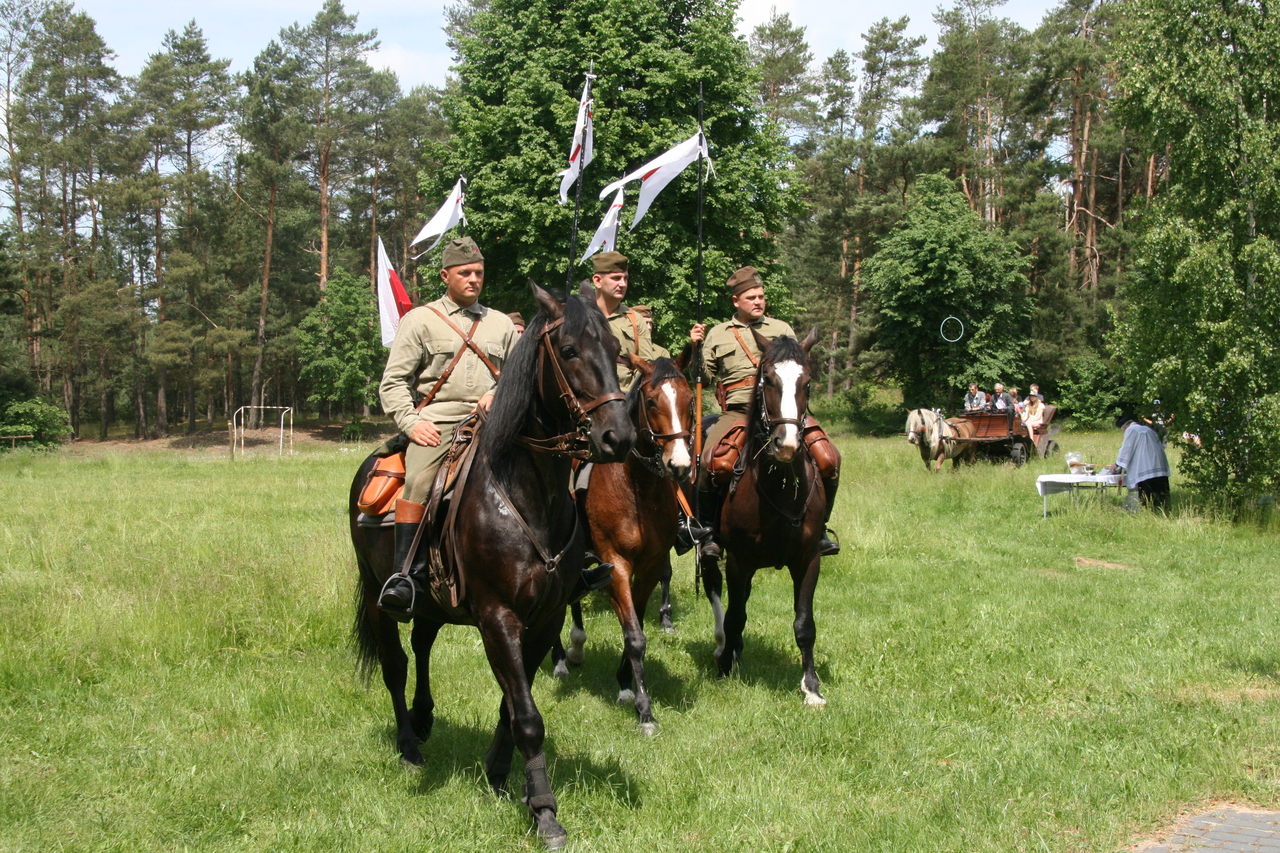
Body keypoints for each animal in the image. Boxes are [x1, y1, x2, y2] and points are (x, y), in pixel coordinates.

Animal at [348, 284, 632, 845]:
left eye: (615, 349)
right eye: (569, 350)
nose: (618, 437)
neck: (527, 495)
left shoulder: (543, 621)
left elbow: (511, 706)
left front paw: (500, 777)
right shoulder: (498, 618)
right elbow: (527, 715)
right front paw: (544, 811)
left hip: (433, 604)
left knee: (422, 645)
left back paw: (424, 718)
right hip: (376, 597)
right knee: (396, 664)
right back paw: (409, 746)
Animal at [547, 345, 696, 732]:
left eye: (689, 400)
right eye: (652, 401)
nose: (679, 466)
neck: (637, 488)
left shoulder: (649, 567)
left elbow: (638, 626)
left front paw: (625, 683)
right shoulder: (616, 565)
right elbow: (634, 636)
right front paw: (644, 709)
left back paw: (576, 647)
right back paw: (560, 659)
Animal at [701, 325, 829, 701]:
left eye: (807, 383)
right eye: (768, 380)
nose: (786, 444)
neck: (781, 486)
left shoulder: (808, 559)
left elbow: (805, 624)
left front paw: (811, 687)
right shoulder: (738, 560)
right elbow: (734, 615)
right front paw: (724, 668)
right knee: (717, 590)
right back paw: (723, 648)